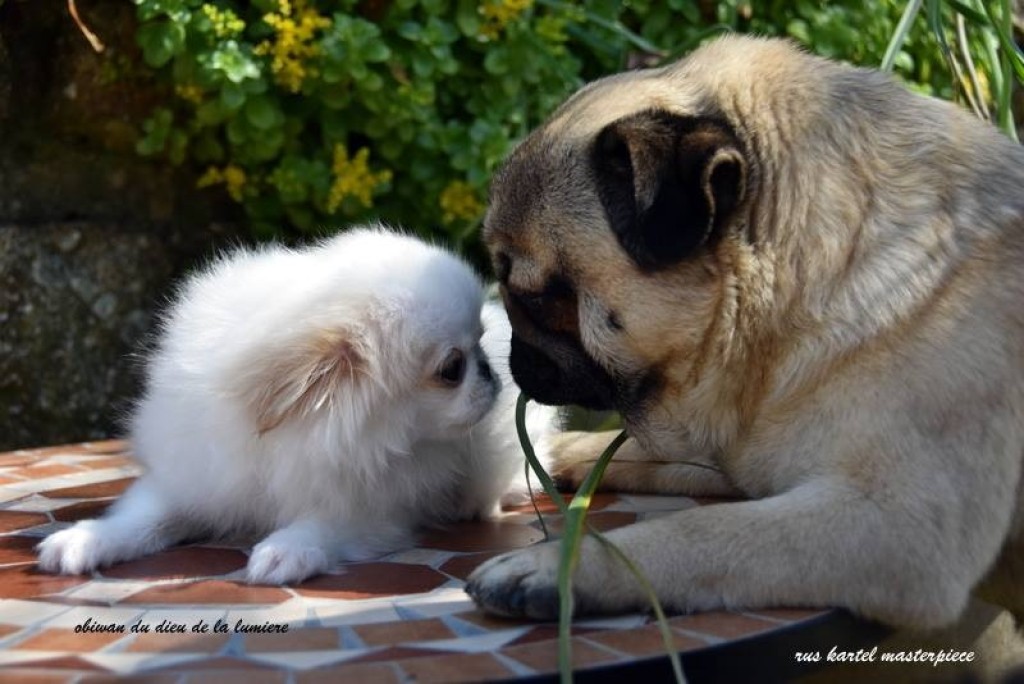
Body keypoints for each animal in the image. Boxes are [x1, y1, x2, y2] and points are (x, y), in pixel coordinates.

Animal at [38, 227, 556, 584]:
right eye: (451, 369)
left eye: (477, 346)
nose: (490, 373)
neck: (297, 439)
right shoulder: (195, 478)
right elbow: (141, 518)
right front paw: (85, 539)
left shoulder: (372, 511)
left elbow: (321, 526)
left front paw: (286, 550)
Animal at [466, 35, 1024, 630]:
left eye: (533, 295)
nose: (508, 353)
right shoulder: (747, 461)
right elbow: (644, 457)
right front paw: (564, 454)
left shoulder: (898, 523)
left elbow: (698, 531)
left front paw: (557, 568)